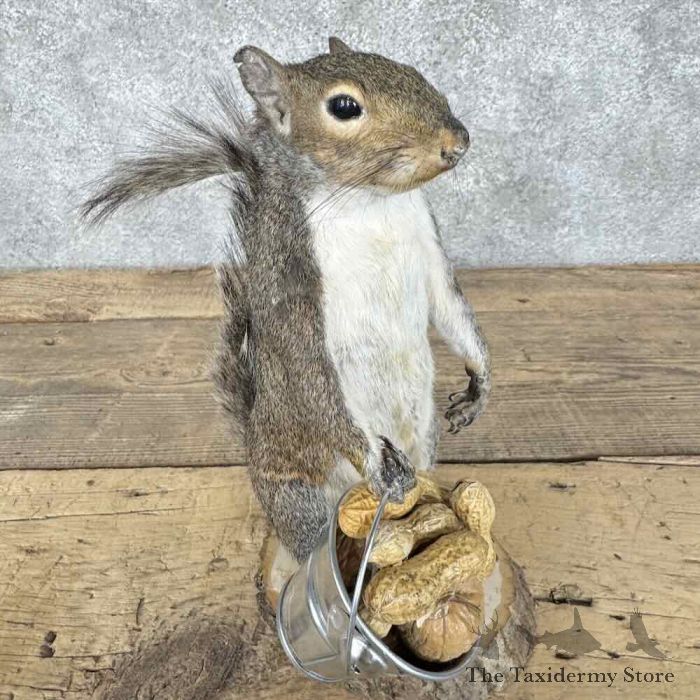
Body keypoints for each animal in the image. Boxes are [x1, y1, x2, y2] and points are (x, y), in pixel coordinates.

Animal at [82, 37, 490, 563]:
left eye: (410, 68)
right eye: (344, 107)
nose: (456, 142)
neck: (369, 203)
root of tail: (254, 447)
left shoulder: (428, 246)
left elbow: (452, 309)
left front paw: (479, 386)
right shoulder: (289, 280)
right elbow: (310, 370)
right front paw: (377, 462)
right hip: (302, 499)